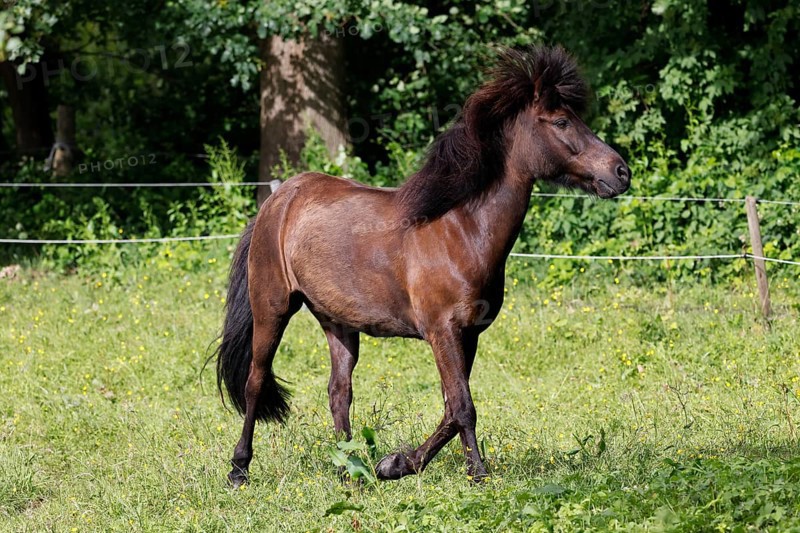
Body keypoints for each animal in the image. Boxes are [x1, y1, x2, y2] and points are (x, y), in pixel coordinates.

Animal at [215, 45, 630, 487]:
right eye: (562, 121)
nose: (621, 172)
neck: (460, 230)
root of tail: (277, 202)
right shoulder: (441, 331)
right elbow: (463, 406)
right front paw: (477, 474)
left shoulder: (468, 335)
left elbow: (451, 408)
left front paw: (395, 464)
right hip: (272, 307)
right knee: (256, 381)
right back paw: (239, 468)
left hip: (337, 322)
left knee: (338, 391)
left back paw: (350, 468)